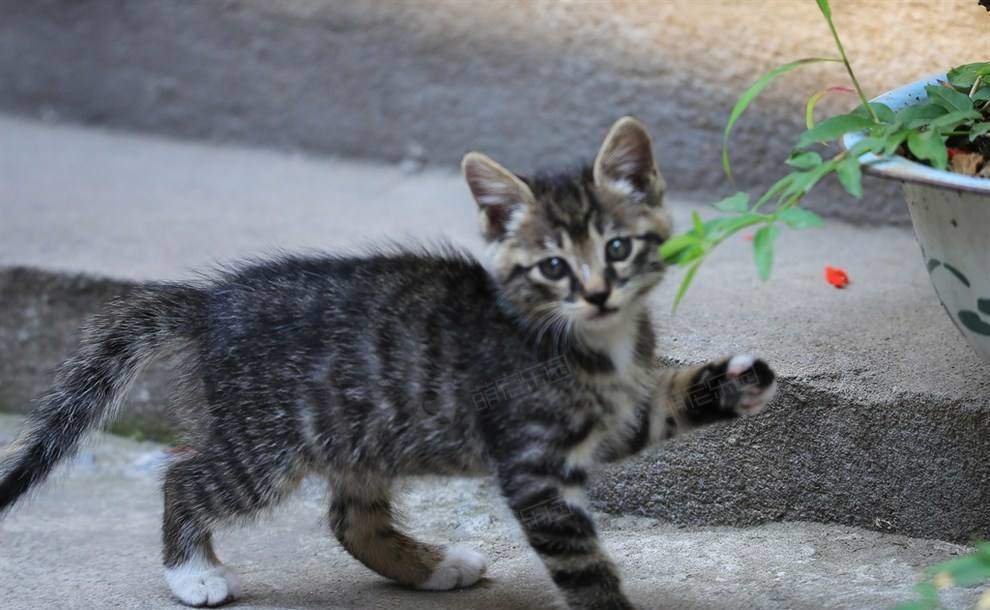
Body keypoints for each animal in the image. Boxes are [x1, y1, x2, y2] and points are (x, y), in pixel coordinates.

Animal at [0, 116, 776, 604]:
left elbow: (664, 403)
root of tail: (210, 303)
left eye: (618, 248)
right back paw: (192, 574)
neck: (592, 342)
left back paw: (431, 567)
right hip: (268, 444)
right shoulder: (533, 465)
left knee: (352, 520)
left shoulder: (616, 416)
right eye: (553, 266)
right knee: (186, 475)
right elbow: (584, 566)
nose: (596, 292)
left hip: (356, 430)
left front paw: (738, 383)